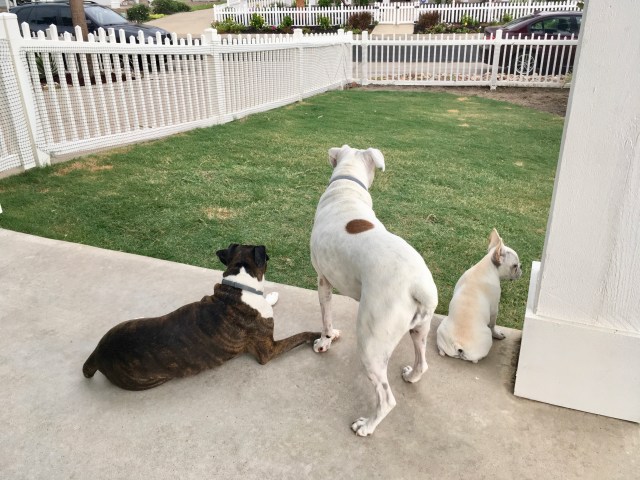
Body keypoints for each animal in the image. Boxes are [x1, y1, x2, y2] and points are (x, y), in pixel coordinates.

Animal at [82, 244, 320, 390]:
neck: (239, 286)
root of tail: (98, 353)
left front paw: (270, 296)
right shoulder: (268, 350)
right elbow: (300, 335)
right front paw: (320, 336)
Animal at [310, 145, 439, 436]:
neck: (346, 186)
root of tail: (418, 285)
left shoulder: (323, 281)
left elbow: (325, 319)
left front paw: (325, 341)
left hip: (372, 345)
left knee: (386, 398)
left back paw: (366, 426)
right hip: (419, 329)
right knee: (422, 362)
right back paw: (411, 376)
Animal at [436, 229, 522, 363]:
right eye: (514, 265)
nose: (521, 268)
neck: (486, 268)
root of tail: (458, 344)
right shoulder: (494, 308)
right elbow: (493, 324)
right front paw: (497, 334)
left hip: (442, 327)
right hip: (486, 337)